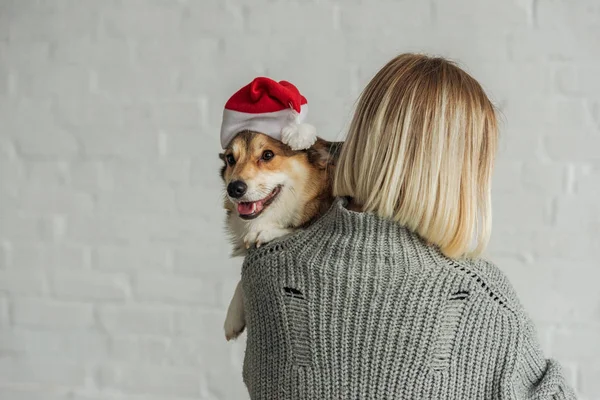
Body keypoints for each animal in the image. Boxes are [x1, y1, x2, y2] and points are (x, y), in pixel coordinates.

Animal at [220, 132, 342, 340]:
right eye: (230, 158)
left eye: (267, 155)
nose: (234, 188)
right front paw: (233, 316)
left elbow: (295, 229)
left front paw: (267, 231)